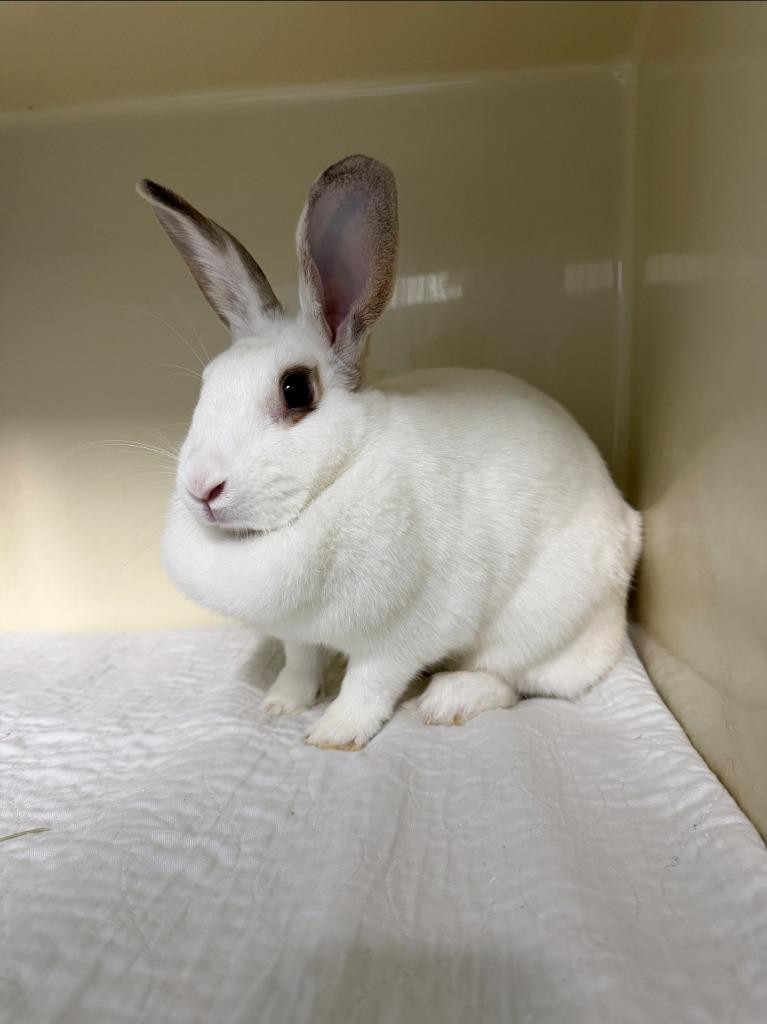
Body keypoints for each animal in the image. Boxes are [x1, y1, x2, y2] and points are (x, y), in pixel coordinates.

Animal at [137, 154, 641, 751]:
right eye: (207, 383)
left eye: (295, 390)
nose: (202, 488)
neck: (337, 480)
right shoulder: (297, 634)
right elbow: (300, 664)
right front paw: (281, 704)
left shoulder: (402, 636)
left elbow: (368, 686)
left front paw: (332, 735)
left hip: (540, 627)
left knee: (515, 682)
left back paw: (448, 700)